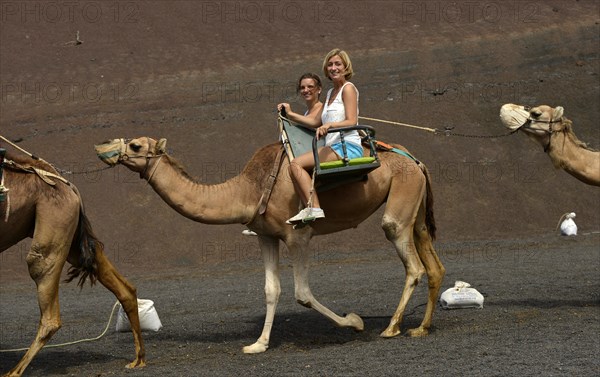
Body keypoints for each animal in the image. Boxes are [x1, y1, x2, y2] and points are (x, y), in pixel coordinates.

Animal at [0, 147, 145, 376]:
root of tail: (68, 186)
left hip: (53, 226)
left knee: (49, 309)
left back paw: (14, 371)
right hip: (70, 237)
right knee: (116, 279)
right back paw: (139, 358)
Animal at [95, 135, 446, 352]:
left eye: (136, 144)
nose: (103, 147)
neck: (248, 190)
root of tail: (416, 161)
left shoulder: (298, 235)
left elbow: (302, 293)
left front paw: (355, 322)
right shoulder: (265, 236)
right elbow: (270, 290)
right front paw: (258, 344)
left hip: (401, 197)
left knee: (411, 260)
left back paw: (391, 327)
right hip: (414, 205)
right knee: (433, 264)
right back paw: (421, 327)